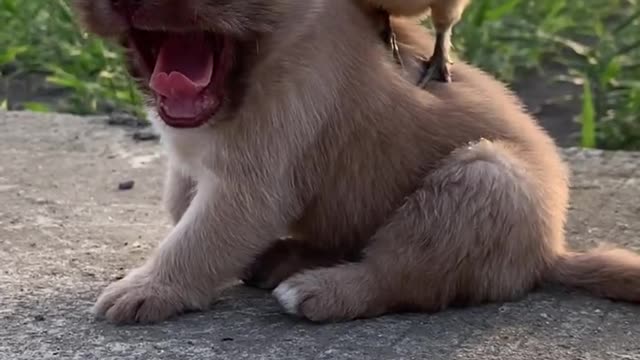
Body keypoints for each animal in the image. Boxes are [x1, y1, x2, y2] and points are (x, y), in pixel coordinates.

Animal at [72, 0, 636, 324]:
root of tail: (551, 252)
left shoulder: (250, 186)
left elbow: (195, 240)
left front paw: (151, 289)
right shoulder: (190, 164)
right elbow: (178, 207)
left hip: (482, 180)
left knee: (397, 274)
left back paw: (319, 289)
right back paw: (291, 258)